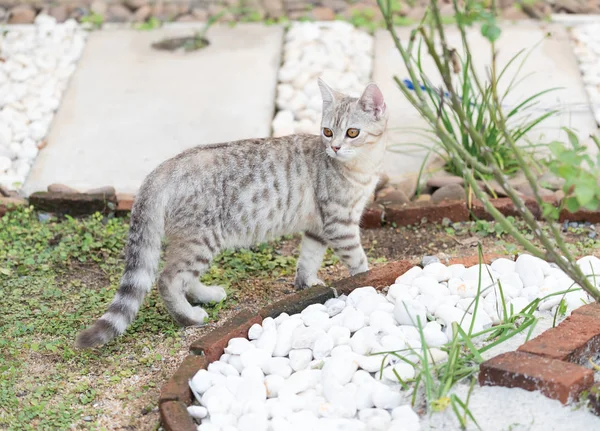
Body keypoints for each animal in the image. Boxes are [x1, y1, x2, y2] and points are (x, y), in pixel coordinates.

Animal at [75, 79, 390, 350]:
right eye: (327, 132)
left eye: (352, 132)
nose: (335, 147)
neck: (363, 167)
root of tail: (162, 169)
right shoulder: (339, 223)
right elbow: (359, 262)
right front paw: (366, 285)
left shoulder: (318, 227)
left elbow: (308, 260)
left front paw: (307, 286)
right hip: (202, 238)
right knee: (169, 279)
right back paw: (189, 317)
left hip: (198, 241)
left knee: (185, 278)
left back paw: (208, 295)